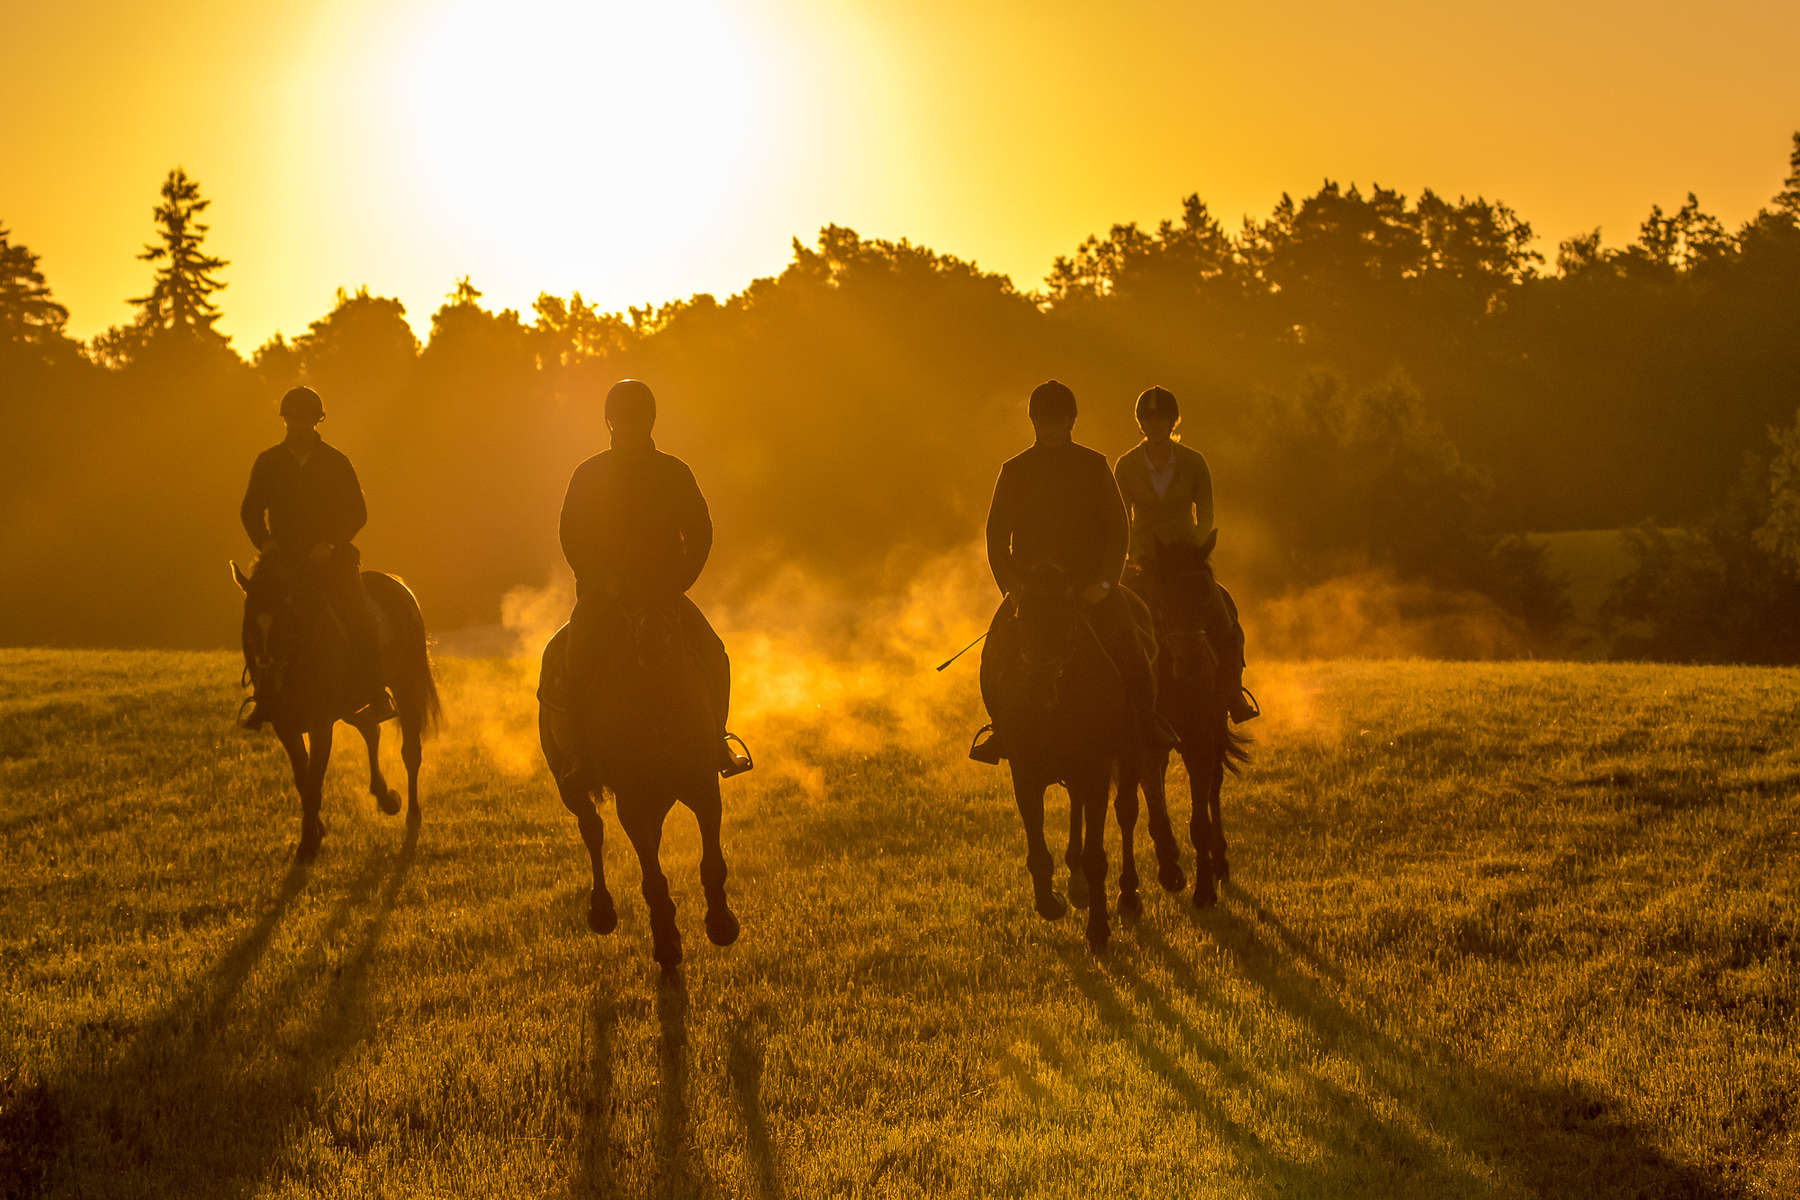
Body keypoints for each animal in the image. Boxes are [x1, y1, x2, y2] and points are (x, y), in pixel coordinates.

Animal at [232, 557, 442, 859]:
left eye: (285, 624)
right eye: (249, 626)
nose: (269, 686)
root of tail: (397, 584)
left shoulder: (321, 726)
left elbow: (313, 781)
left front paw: (308, 843)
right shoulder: (286, 726)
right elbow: (303, 778)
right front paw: (315, 830)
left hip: (405, 686)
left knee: (410, 752)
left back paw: (411, 813)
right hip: (352, 707)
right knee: (371, 730)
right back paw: (385, 797)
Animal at [532, 600, 738, 978]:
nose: (653, 636)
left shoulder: (702, 787)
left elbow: (711, 860)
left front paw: (720, 925)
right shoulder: (631, 803)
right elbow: (652, 876)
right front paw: (667, 946)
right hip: (572, 791)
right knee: (592, 831)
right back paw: (602, 912)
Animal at [979, 564, 1144, 949]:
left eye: (1070, 622)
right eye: (1021, 619)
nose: (1040, 690)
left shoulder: (1097, 768)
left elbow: (1097, 854)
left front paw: (1098, 929)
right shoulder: (1024, 771)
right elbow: (1038, 848)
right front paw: (1050, 904)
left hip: (1129, 754)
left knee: (1126, 812)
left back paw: (1127, 895)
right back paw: (1077, 884)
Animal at [1123, 536, 1252, 910]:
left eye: (1204, 593)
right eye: (1163, 596)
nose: (1192, 659)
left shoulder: (1200, 740)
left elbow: (1199, 821)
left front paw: (1205, 888)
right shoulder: (1145, 742)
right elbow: (1152, 804)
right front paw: (1169, 869)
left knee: (1213, 790)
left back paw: (1219, 862)